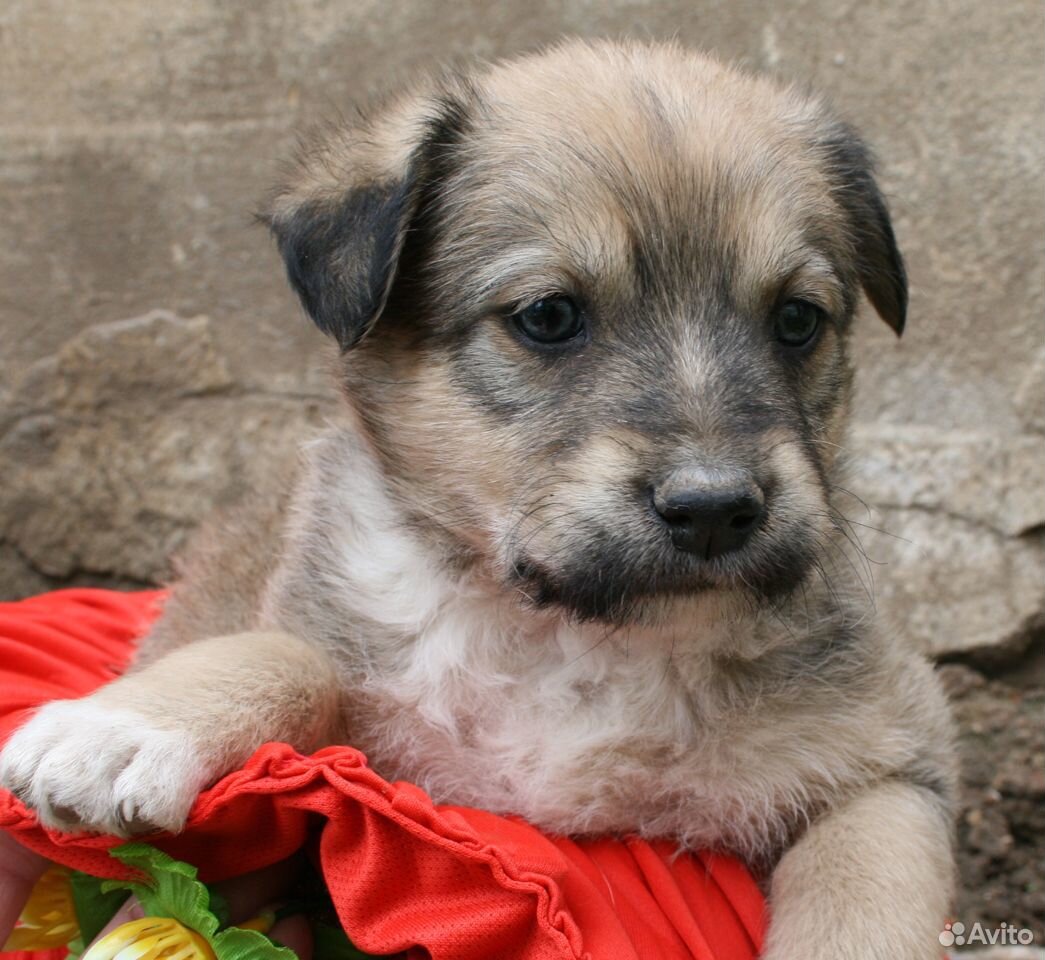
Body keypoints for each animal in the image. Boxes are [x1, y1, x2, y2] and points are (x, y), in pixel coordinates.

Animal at [4, 39, 957, 960]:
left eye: (797, 320)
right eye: (546, 316)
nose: (715, 508)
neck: (574, 636)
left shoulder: (891, 762)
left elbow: (863, 892)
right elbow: (281, 654)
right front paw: (126, 729)